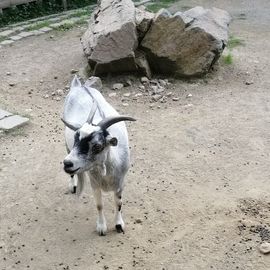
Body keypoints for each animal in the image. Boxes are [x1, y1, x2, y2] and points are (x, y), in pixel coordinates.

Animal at [62, 75, 136, 235]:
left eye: (97, 145)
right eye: (76, 138)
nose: (67, 163)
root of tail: (80, 86)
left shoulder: (120, 183)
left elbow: (118, 203)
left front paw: (119, 225)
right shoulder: (94, 183)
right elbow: (99, 205)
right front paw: (101, 227)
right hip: (66, 146)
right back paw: (73, 185)